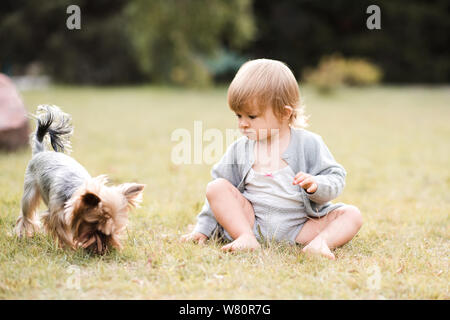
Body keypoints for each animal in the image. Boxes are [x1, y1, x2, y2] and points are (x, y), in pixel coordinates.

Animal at [14, 105, 145, 255]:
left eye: (114, 230)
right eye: (94, 225)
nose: (106, 248)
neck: (75, 188)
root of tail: (41, 151)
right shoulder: (55, 214)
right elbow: (61, 232)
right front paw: (70, 248)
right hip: (29, 191)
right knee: (26, 214)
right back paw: (23, 234)